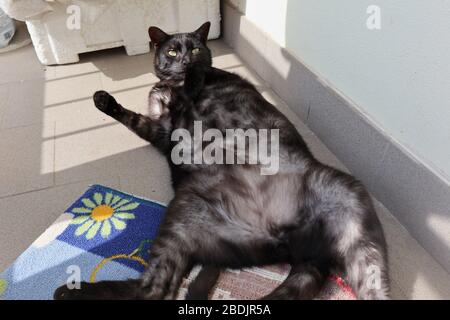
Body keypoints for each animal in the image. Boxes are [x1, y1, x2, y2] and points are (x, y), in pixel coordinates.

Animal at [53, 22, 390, 300]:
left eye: (195, 48)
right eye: (172, 50)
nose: (185, 60)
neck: (171, 89)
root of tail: (289, 239)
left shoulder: (181, 105)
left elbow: (193, 81)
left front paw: (191, 73)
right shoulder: (162, 130)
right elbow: (134, 119)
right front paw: (103, 100)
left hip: (358, 227)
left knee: (155, 290)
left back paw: (68, 291)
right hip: (184, 219)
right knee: (154, 288)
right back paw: (70, 291)